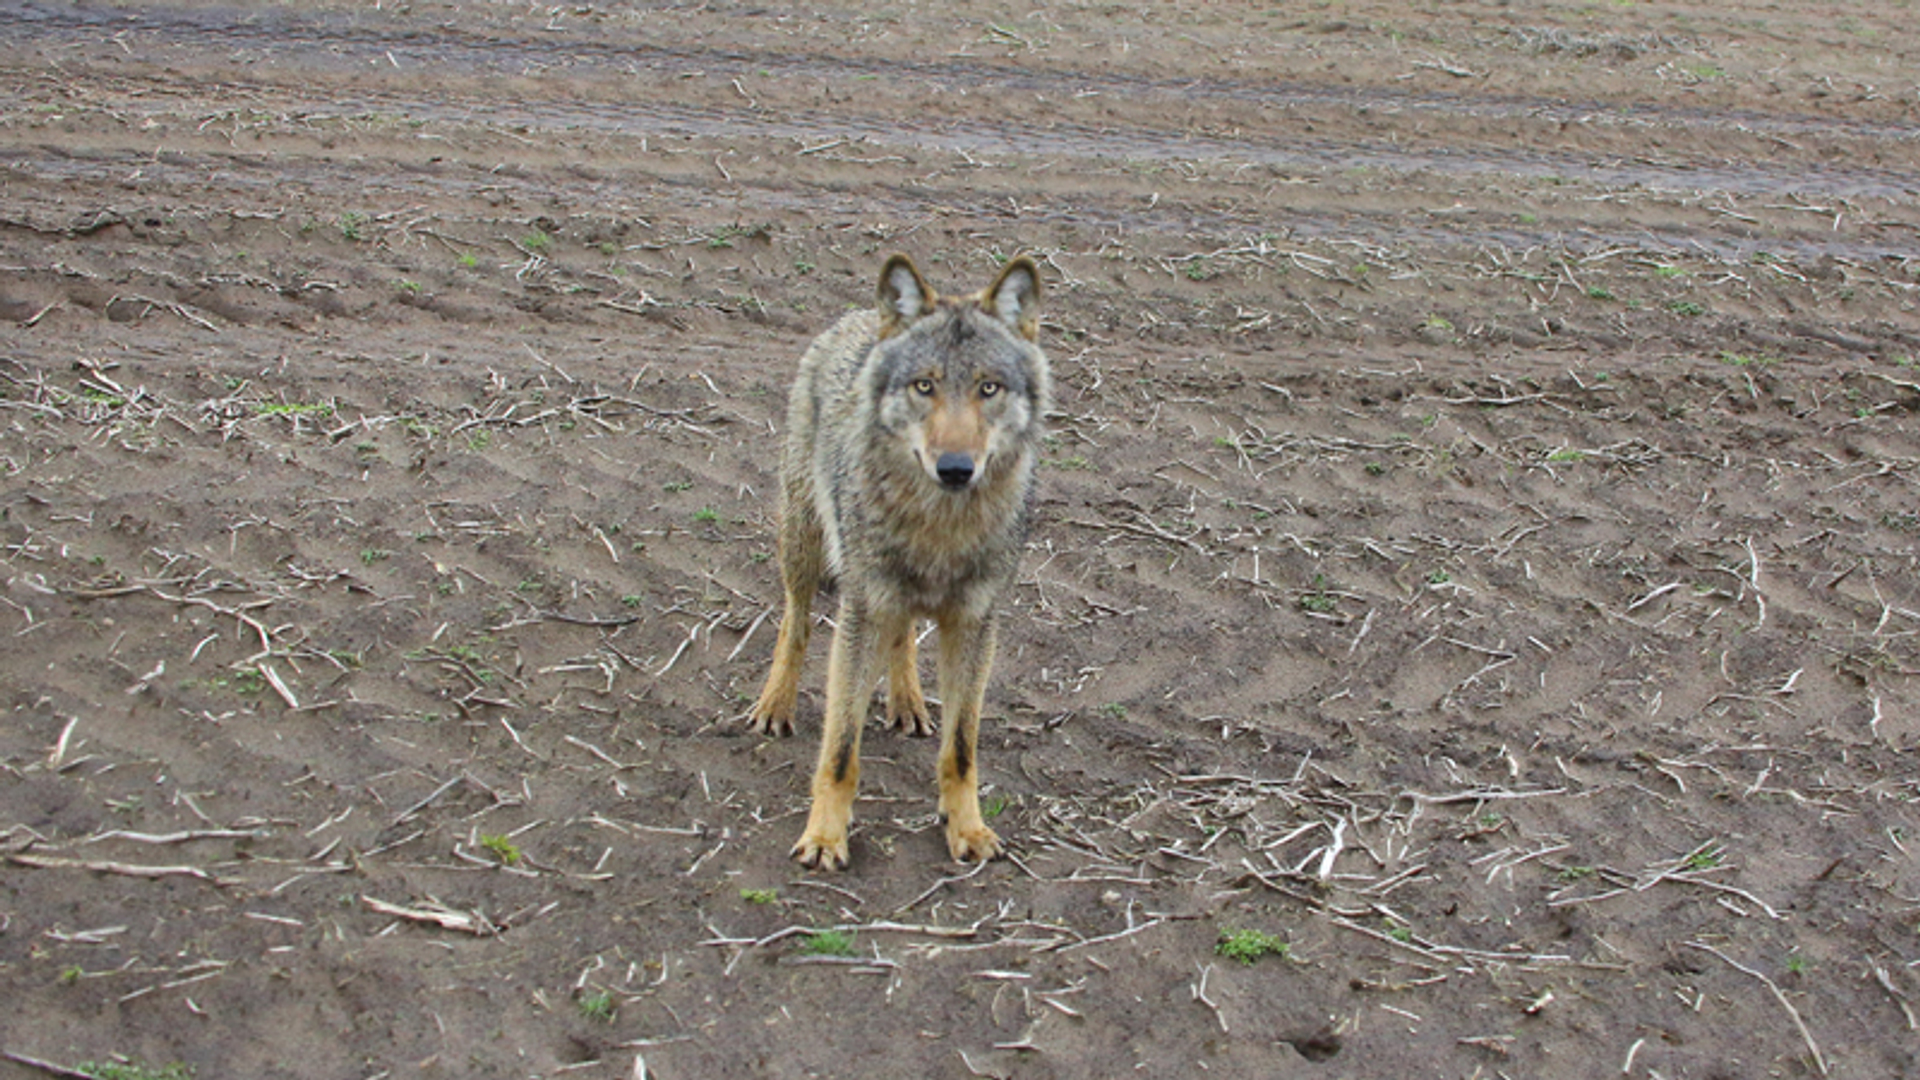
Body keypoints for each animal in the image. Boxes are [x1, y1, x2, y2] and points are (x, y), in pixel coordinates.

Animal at [747, 253, 1050, 871]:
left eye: (988, 388)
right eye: (924, 386)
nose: (955, 468)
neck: (940, 529)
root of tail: (860, 316)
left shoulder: (975, 625)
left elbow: (961, 749)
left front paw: (967, 827)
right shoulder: (862, 613)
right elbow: (840, 749)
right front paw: (824, 837)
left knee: (904, 634)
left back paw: (908, 702)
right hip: (803, 548)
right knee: (795, 623)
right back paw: (775, 704)